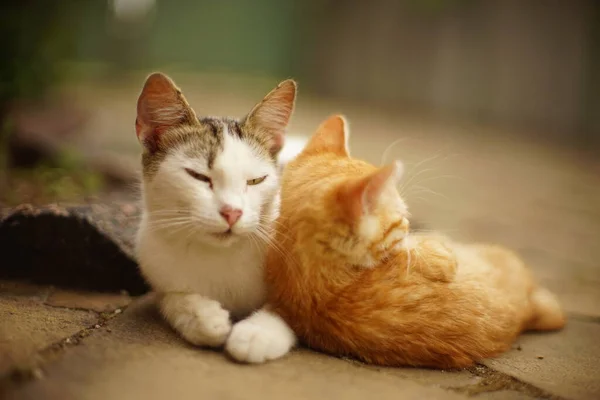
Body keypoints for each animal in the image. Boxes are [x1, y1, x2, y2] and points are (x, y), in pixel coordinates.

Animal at [135, 72, 296, 350]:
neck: (221, 254)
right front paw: (202, 316)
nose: (232, 212)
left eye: (256, 180)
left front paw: (257, 333)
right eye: (199, 176)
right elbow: (170, 297)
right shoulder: (156, 264)